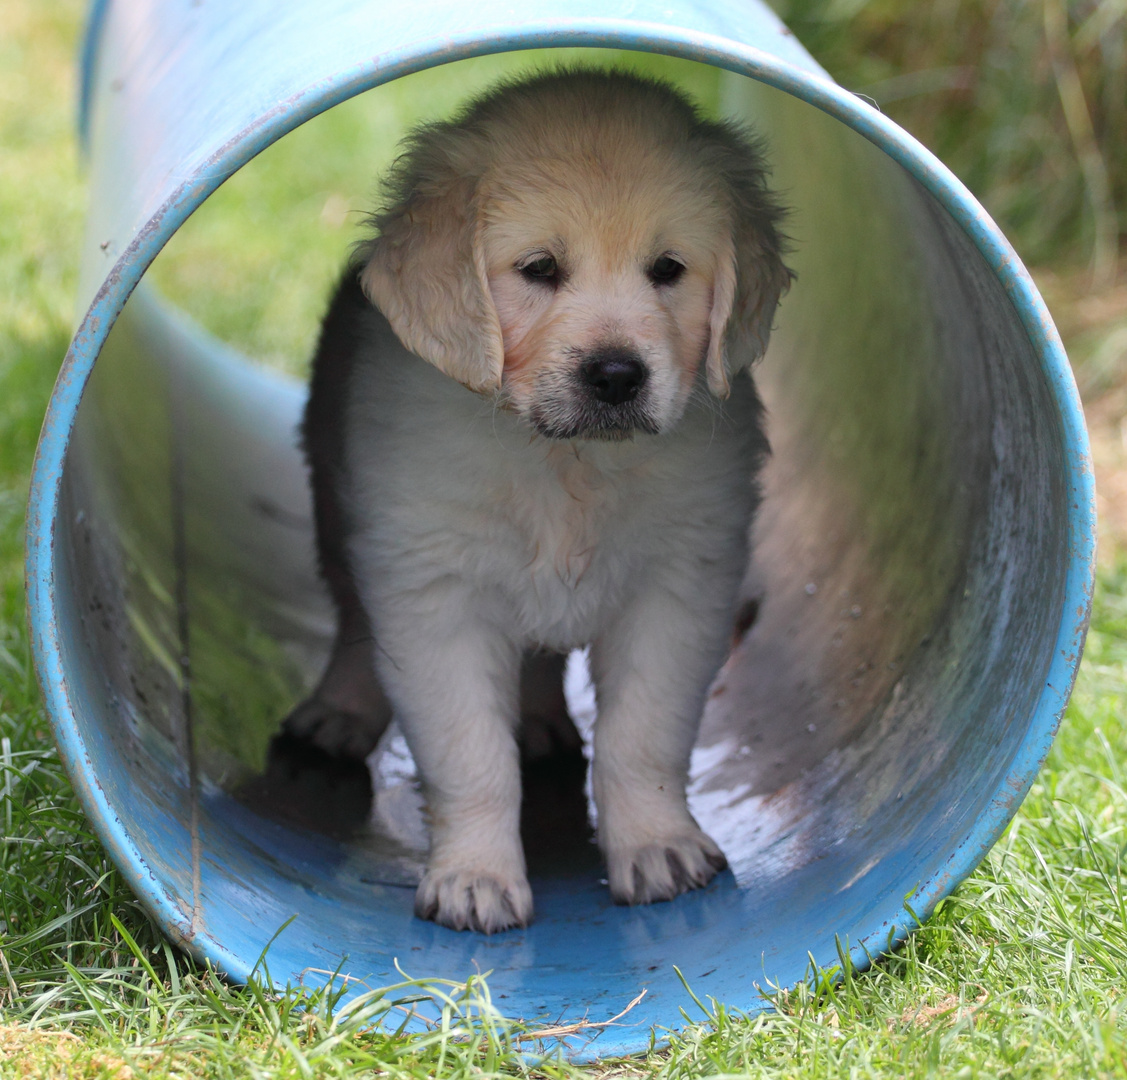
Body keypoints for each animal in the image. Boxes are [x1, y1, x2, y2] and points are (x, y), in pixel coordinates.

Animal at [286, 69, 788, 928]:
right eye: (538, 268)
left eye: (668, 268)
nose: (616, 375)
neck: (565, 460)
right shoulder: (433, 592)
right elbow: (470, 754)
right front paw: (474, 879)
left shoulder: (678, 588)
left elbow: (641, 738)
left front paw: (658, 847)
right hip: (332, 492)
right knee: (352, 619)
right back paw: (339, 712)